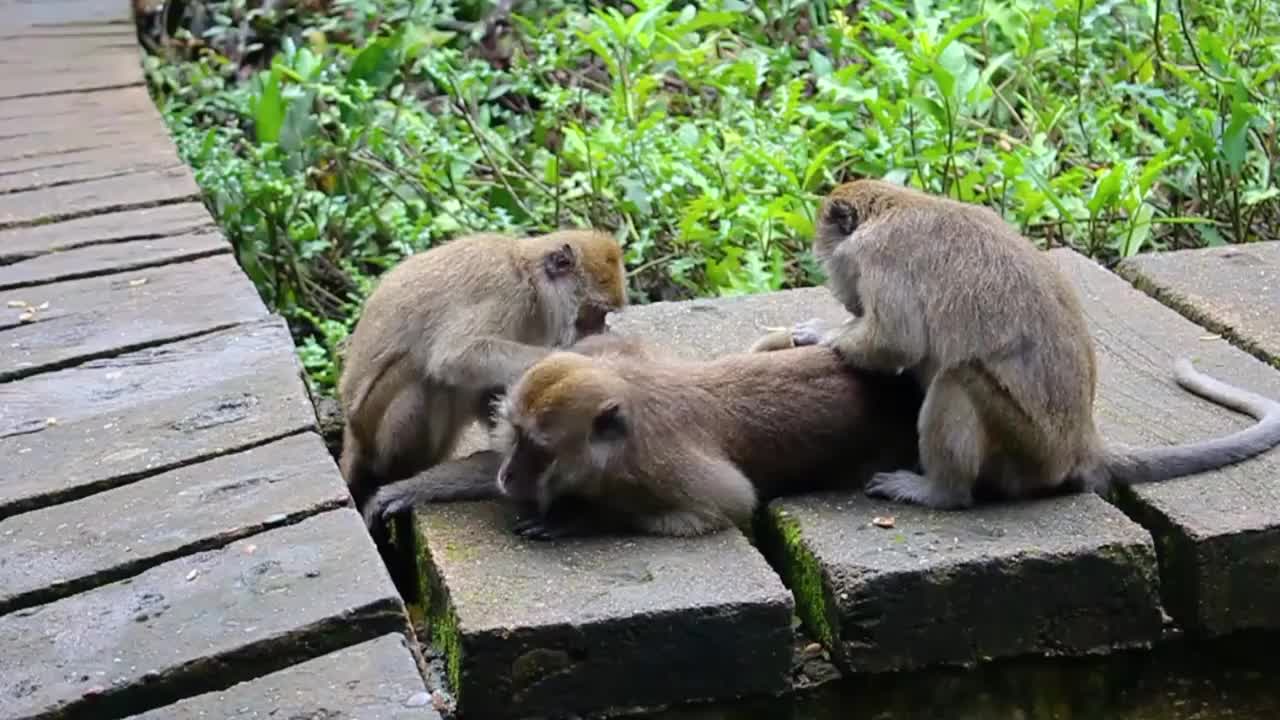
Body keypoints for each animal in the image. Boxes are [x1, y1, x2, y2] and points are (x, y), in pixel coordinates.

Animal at [335, 226, 624, 507]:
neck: (530, 279)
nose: (601, 331)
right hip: (376, 422)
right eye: (595, 315)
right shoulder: (506, 292)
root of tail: (352, 433)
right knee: (426, 376)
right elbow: (455, 355)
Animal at [773, 176, 1280, 507]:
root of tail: (1081, 442)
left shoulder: (878, 258)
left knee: (959, 378)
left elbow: (896, 341)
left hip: (1026, 450)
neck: (892, 207)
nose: (842, 295)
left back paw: (941, 493)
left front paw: (823, 333)